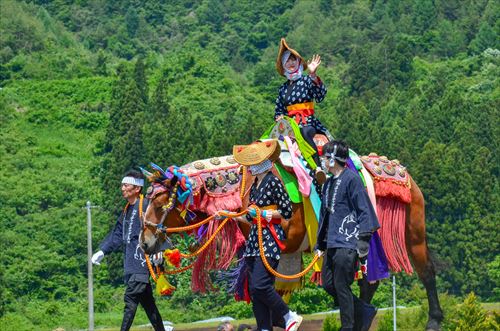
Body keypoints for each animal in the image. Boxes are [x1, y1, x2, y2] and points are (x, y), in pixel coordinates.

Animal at [139, 118, 444, 330]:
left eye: (160, 202)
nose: (145, 242)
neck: (246, 184)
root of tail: (404, 173)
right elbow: (266, 291)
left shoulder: (284, 243)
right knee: (368, 283)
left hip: (413, 232)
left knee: (426, 271)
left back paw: (433, 321)